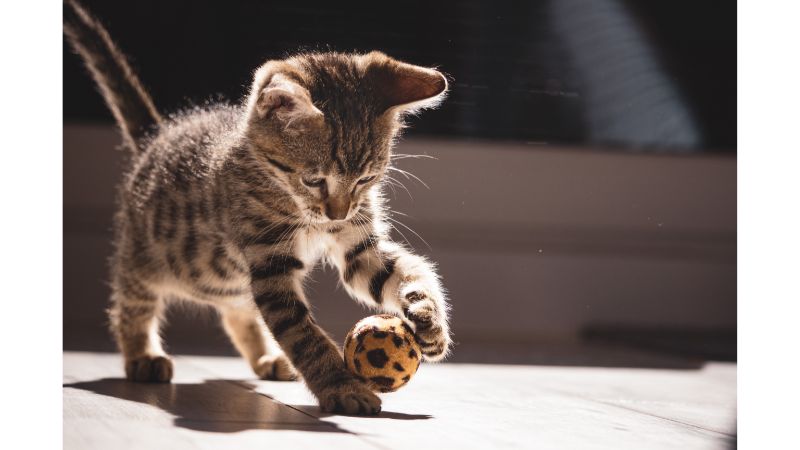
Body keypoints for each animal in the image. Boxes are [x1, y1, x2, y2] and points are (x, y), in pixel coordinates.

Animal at [64, 0, 450, 414]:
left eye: (366, 179)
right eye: (314, 180)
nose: (338, 213)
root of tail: (158, 137)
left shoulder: (359, 247)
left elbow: (403, 271)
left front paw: (428, 318)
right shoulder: (270, 263)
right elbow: (302, 333)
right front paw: (341, 387)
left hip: (229, 282)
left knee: (238, 312)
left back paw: (267, 358)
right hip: (143, 258)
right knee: (131, 303)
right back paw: (142, 355)